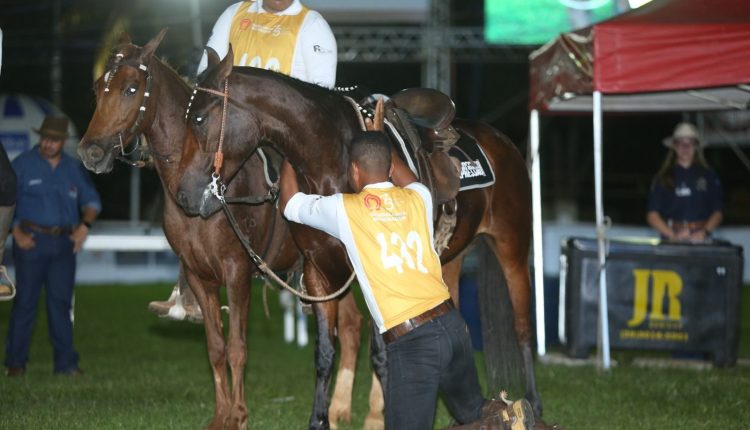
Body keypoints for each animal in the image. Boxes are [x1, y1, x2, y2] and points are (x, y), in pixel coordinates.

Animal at [74, 31, 374, 430]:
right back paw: (339, 409)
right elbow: (215, 348)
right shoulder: (198, 274)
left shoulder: (237, 272)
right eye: (98, 88)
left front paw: (239, 415)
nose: (90, 152)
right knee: (353, 324)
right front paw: (220, 416)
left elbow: (237, 348)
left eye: (131, 89)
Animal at [174, 47, 544, 424]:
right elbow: (325, 353)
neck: (330, 163)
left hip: (513, 248)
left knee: (523, 326)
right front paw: (319, 419)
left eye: (199, 119)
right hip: (449, 260)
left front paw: (379, 417)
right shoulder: (317, 272)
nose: (183, 196)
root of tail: (501, 142)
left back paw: (532, 402)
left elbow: (381, 352)